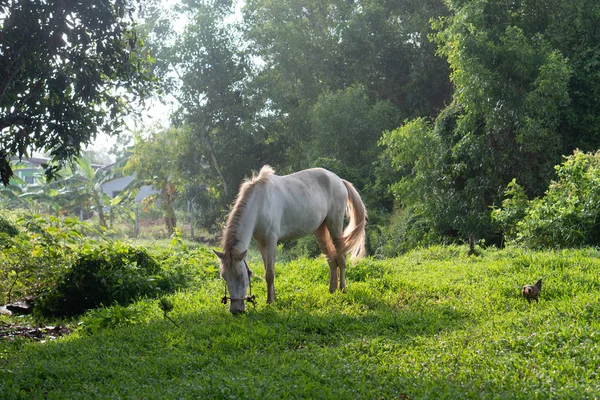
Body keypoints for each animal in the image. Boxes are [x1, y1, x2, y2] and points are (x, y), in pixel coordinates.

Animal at [213, 165, 368, 312]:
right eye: (224, 277)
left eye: (240, 276)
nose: (236, 310)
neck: (260, 203)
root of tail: (339, 180)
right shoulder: (261, 242)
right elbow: (267, 269)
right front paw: (273, 297)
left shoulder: (271, 240)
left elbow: (269, 273)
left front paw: (269, 302)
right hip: (320, 230)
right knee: (331, 260)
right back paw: (332, 291)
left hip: (334, 225)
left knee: (341, 257)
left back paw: (342, 289)